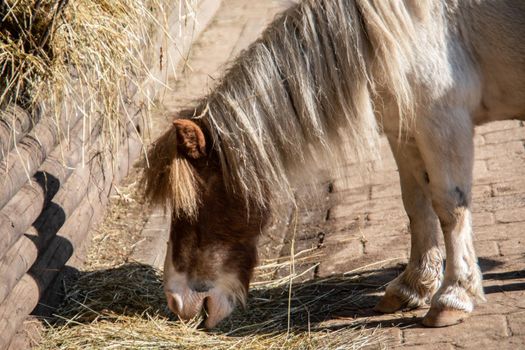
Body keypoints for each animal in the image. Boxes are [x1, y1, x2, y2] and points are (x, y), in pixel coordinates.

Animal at [141, 0, 524, 328]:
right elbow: (417, 204)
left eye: (192, 209)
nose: (177, 302)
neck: (399, 29)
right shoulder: (405, 131)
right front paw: (412, 287)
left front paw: (452, 297)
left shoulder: (443, 123)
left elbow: (449, 208)